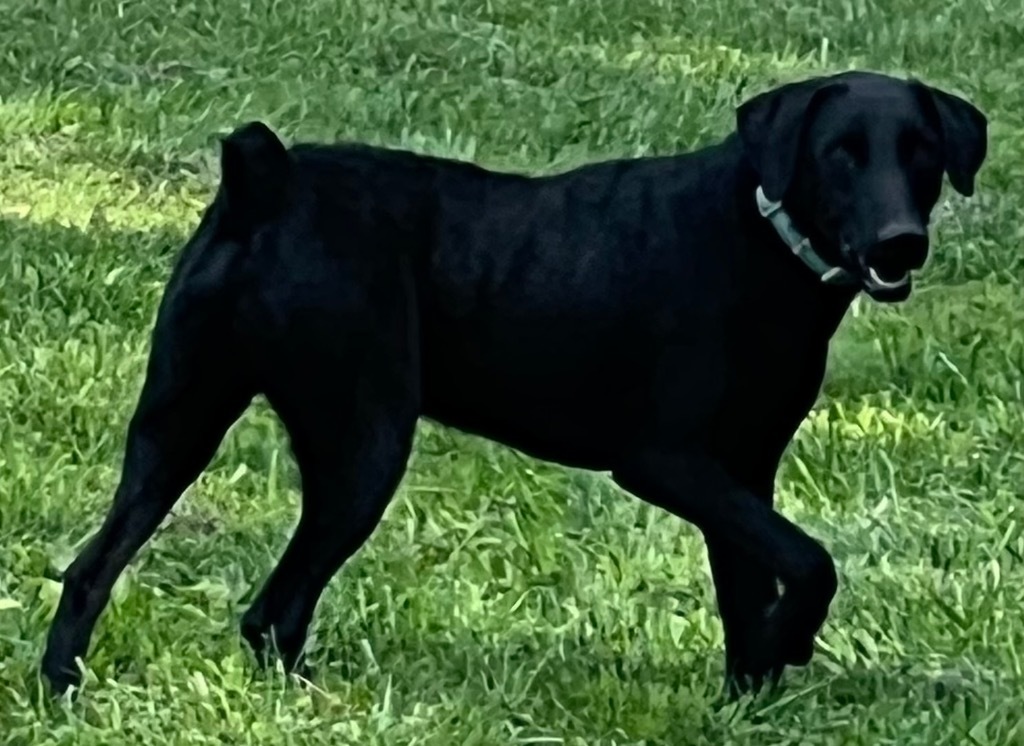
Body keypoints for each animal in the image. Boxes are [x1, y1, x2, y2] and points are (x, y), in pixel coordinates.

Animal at [39, 69, 983, 691]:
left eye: (923, 151)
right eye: (840, 154)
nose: (902, 243)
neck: (758, 234)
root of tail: (264, 183)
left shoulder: (742, 474)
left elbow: (751, 589)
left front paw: (752, 689)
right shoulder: (669, 461)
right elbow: (811, 561)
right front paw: (790, 644)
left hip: (175, 427)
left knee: (96, 569)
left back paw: (62, 686)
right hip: (361, 449)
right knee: (273, 608)